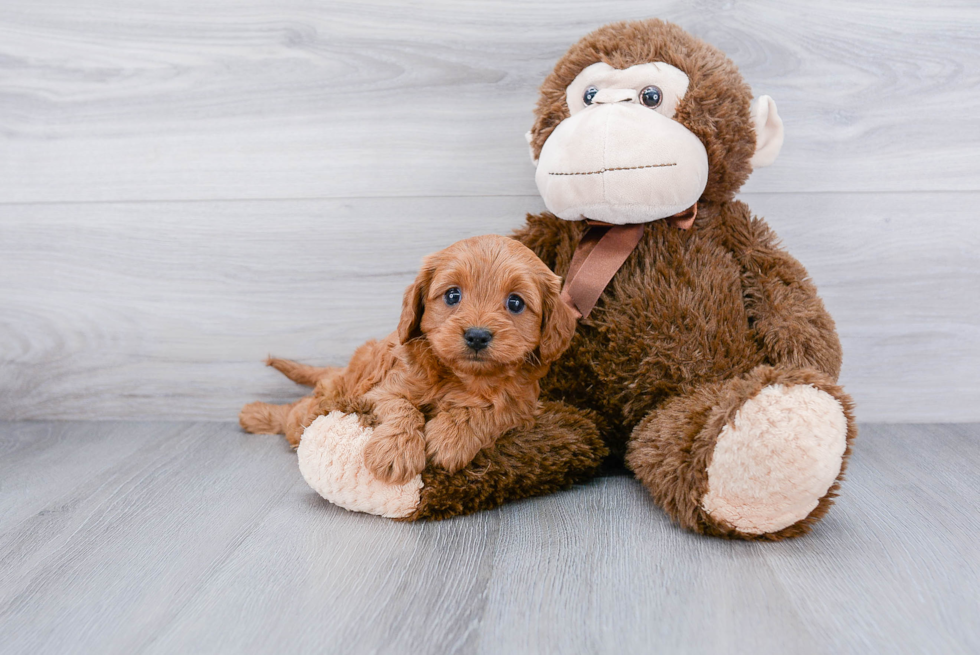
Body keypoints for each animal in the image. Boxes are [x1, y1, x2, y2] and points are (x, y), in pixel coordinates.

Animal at [241, 236, 580, 486]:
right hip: (333, 395)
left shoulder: (524, 406)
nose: (477, 335)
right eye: (453, 295)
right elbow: (402, 407)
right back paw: (254, 414)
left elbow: (492, 411)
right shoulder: (382, 388)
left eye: (515, 303)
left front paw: (451, 437)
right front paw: (395, 452)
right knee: (293, 414)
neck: (463, 377)